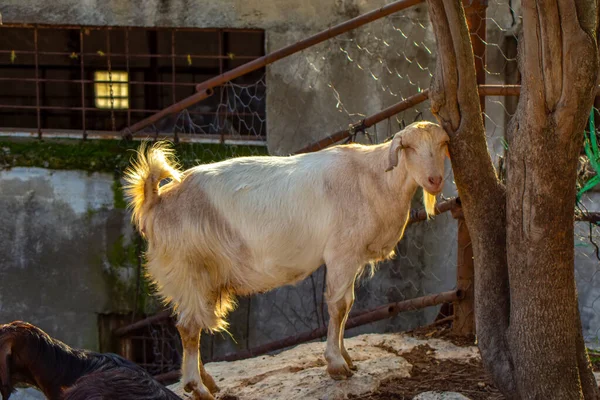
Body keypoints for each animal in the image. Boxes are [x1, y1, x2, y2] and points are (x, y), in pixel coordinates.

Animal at [124, 121, 448, 400]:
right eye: (408, 147)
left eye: (443, 144)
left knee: (188, 323)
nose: (435, 180)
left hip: (196, 278)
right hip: (189, 269)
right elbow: (339, 306)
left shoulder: (352, 258)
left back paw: (206, 382)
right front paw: (337, 364)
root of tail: (155, 200)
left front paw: (346, 358)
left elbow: (347, 306)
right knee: (189, 327)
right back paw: (198, 388)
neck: (373, 178)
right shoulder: (342, 253)